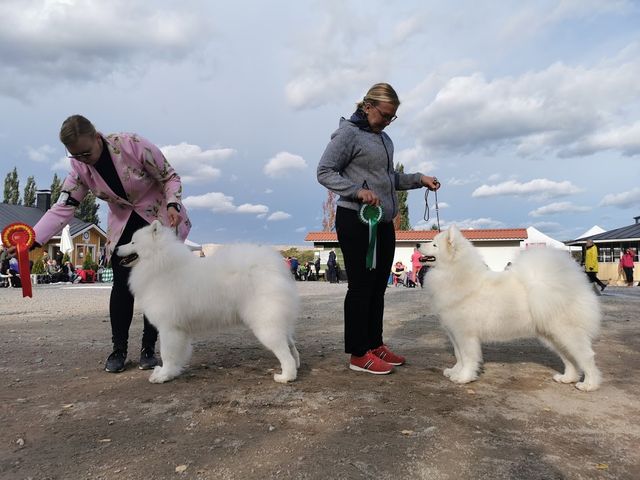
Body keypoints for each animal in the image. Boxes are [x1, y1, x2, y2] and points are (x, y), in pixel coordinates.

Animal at [115, 220, 300, 382]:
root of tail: (274, 269)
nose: (116, 248)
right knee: (291, 345)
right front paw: (172, 372)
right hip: (277, 321)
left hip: (265, 324)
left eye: (132, 242)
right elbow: (177, 355)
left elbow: (167, 354)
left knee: (284, 352)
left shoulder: (169, 328)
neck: (159, 263)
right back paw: (297, 365)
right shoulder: (179, 331)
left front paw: (163, 376)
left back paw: (286, 376)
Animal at [420, 225, 600, 390]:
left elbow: (468, 358)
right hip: (552, 336)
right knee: (569, 358)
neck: (454, 274)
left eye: (434, 245)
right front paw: (454, 372)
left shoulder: (465, 334)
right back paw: (567, 378)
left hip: (567, 333)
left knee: (586, 356)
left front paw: (464, 377)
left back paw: (589, 384)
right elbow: (459, 357)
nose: (418, 244)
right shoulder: (453, 332)